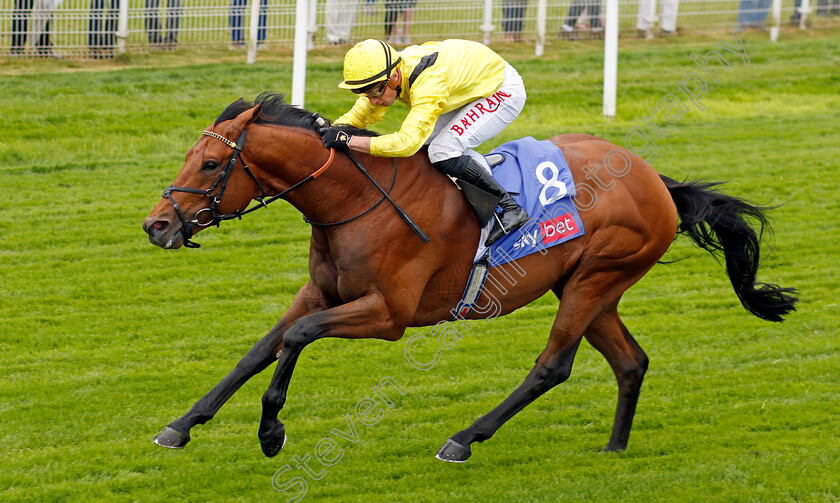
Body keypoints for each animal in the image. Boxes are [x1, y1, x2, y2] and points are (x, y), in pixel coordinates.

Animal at [143, 92, 796, 462]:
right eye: (188, 157)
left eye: (209, 164)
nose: (156, 225)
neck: (354, 201)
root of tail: (655, 179)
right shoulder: (321, 291)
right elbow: (258, 351)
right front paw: (181, 426)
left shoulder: (389, 314)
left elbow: (298, 338)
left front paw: (271, 430)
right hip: (590, 286)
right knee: (630, 361)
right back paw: (614, 447)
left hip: (597, 278)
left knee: (553, 366)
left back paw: (464, 438)